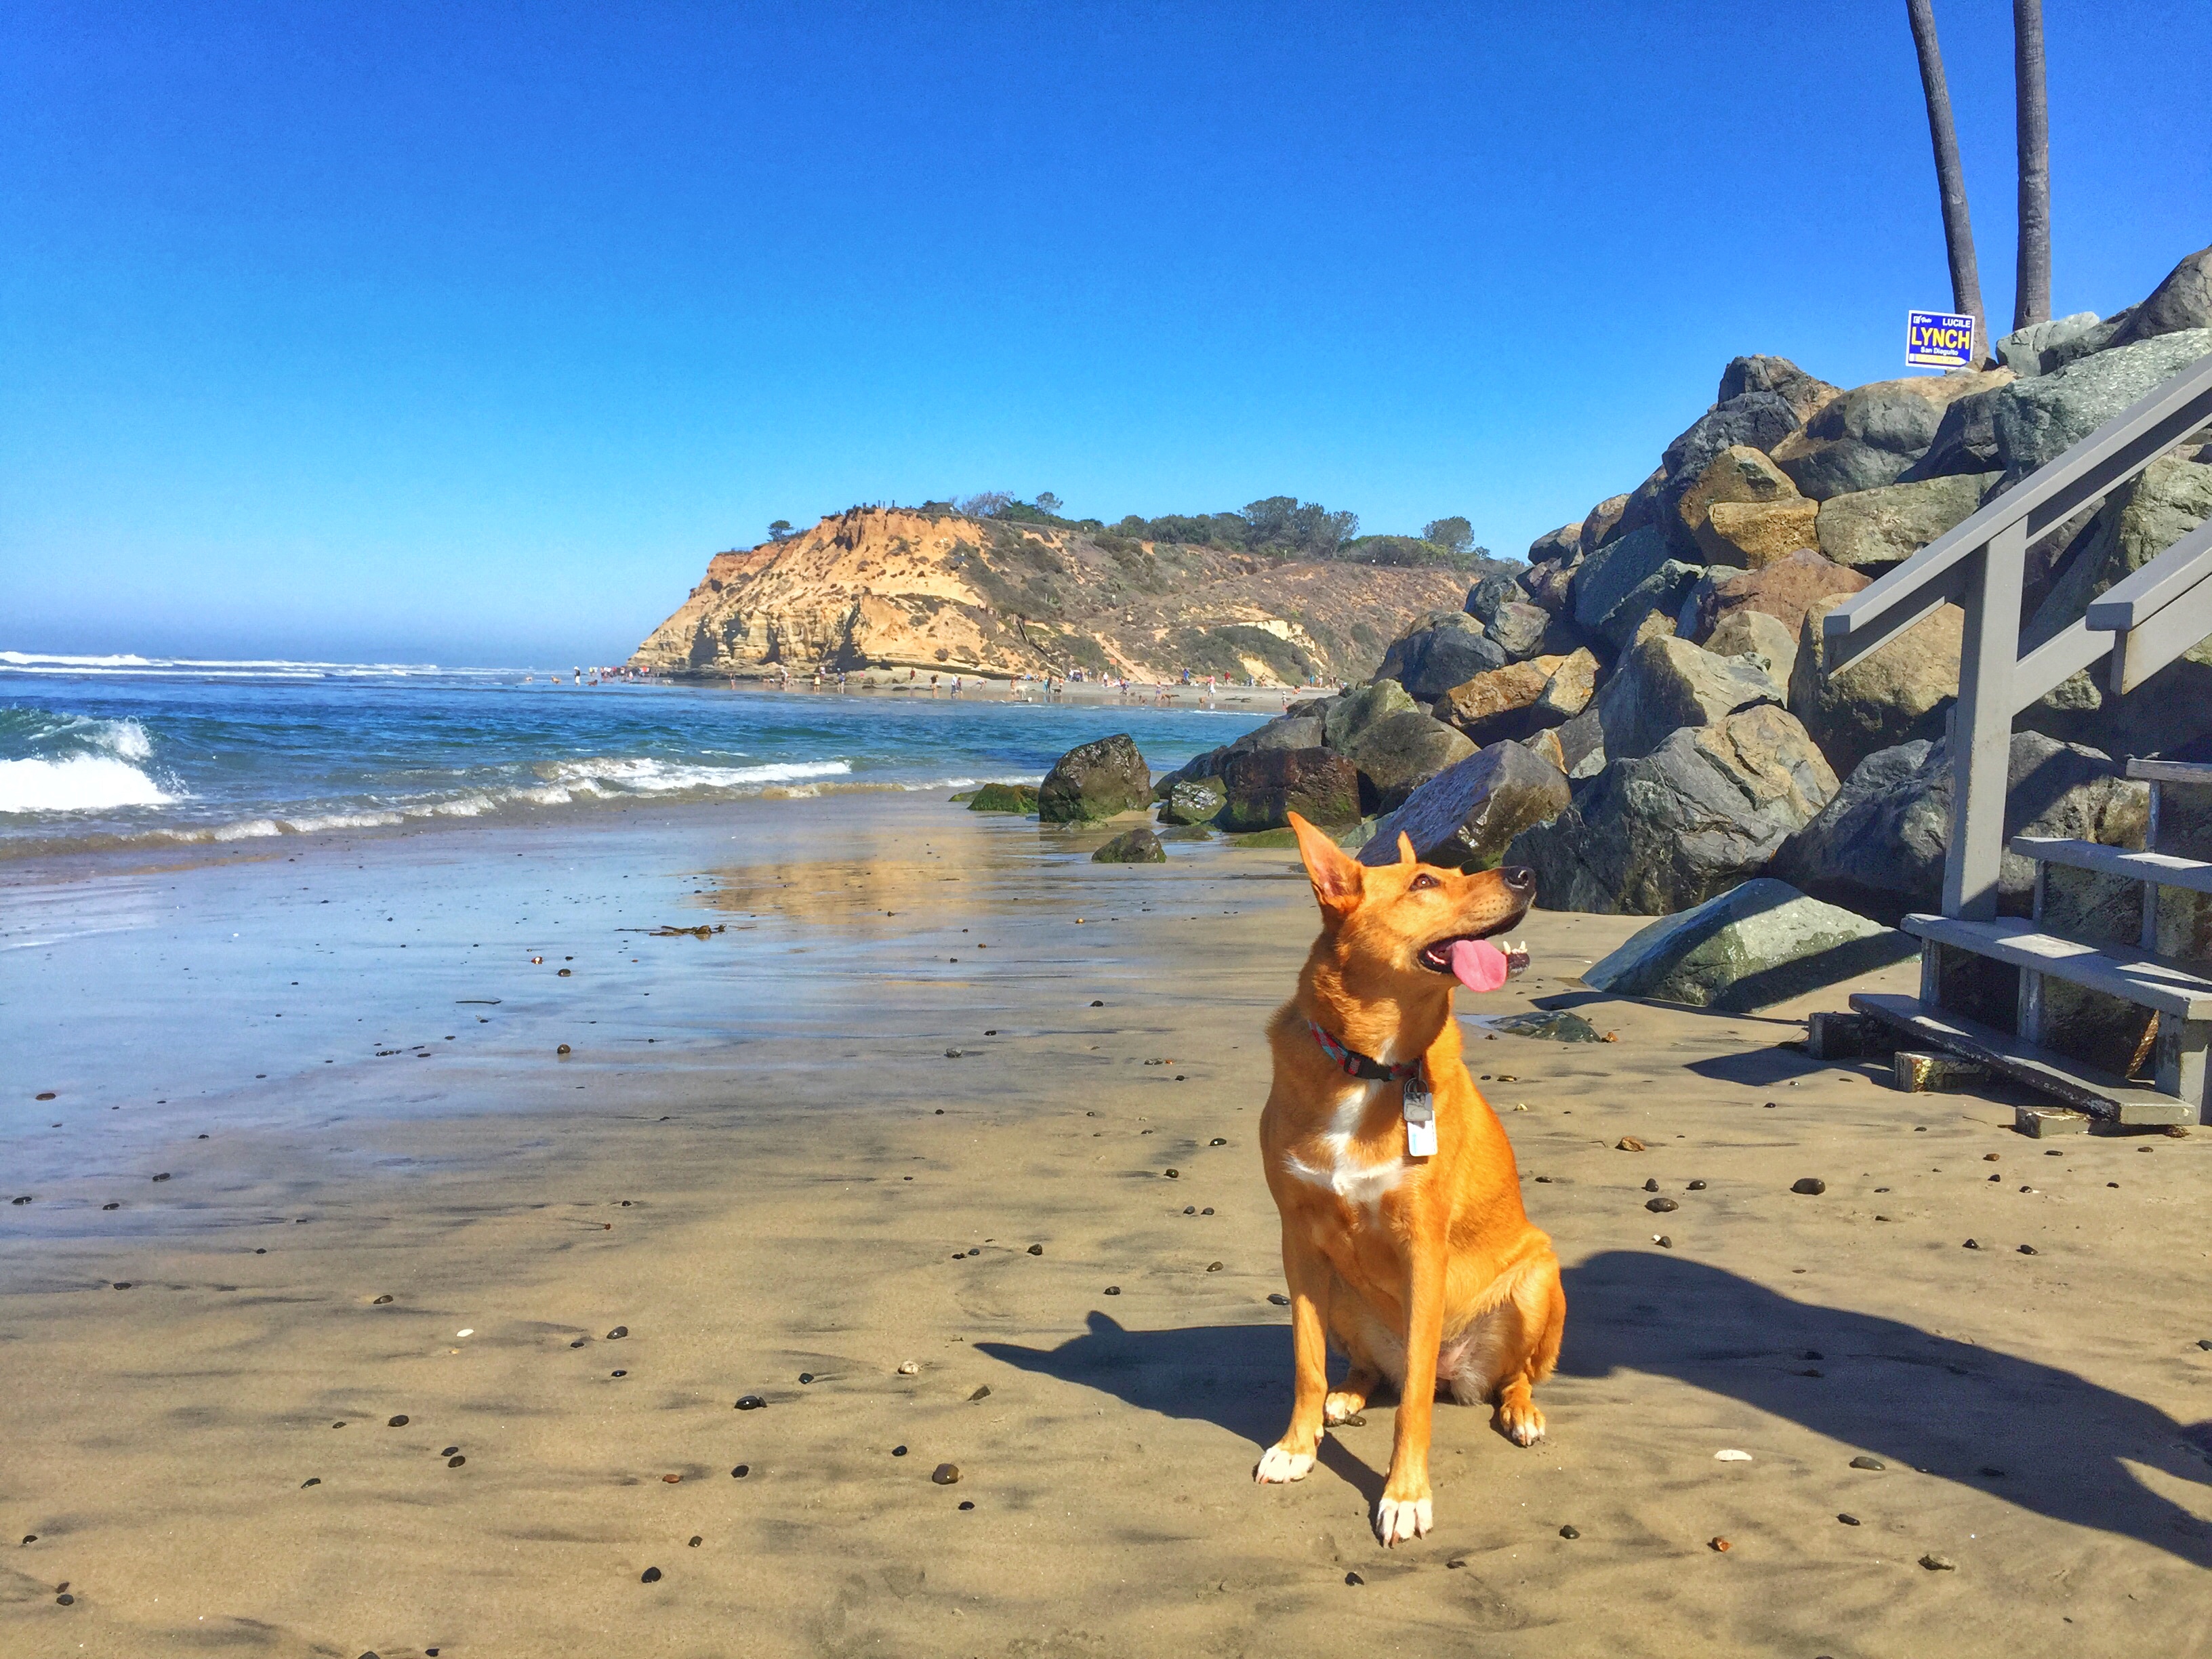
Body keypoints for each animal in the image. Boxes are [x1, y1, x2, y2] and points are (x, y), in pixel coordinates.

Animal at [1247, 814, 1574, 1557]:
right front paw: (1296, 1446)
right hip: (1342, 1292)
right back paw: (1348, 1395)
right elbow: (1306, 1361)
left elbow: (1415, 1403)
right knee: (1372, 1370)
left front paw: (1404, 1496)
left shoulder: (1423, 1248)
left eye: (1453, 871)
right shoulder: (1297, 1243)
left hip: (1541, 1276)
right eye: (1425, 882)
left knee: (1512, 1376)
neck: (1370, 1066)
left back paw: (1521, 1412)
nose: (1527, 873)